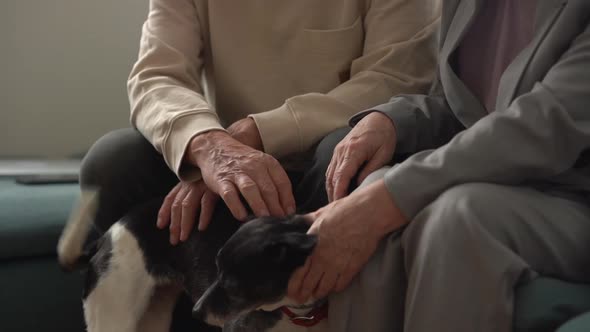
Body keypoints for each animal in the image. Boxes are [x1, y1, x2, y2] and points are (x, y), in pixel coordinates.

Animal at [57, 191, 330, 330]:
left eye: (232, 286)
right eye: (217, 271)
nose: (195, 312)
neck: (297, 311)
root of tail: (105, 237)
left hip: (153, 319)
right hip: (114, 317)